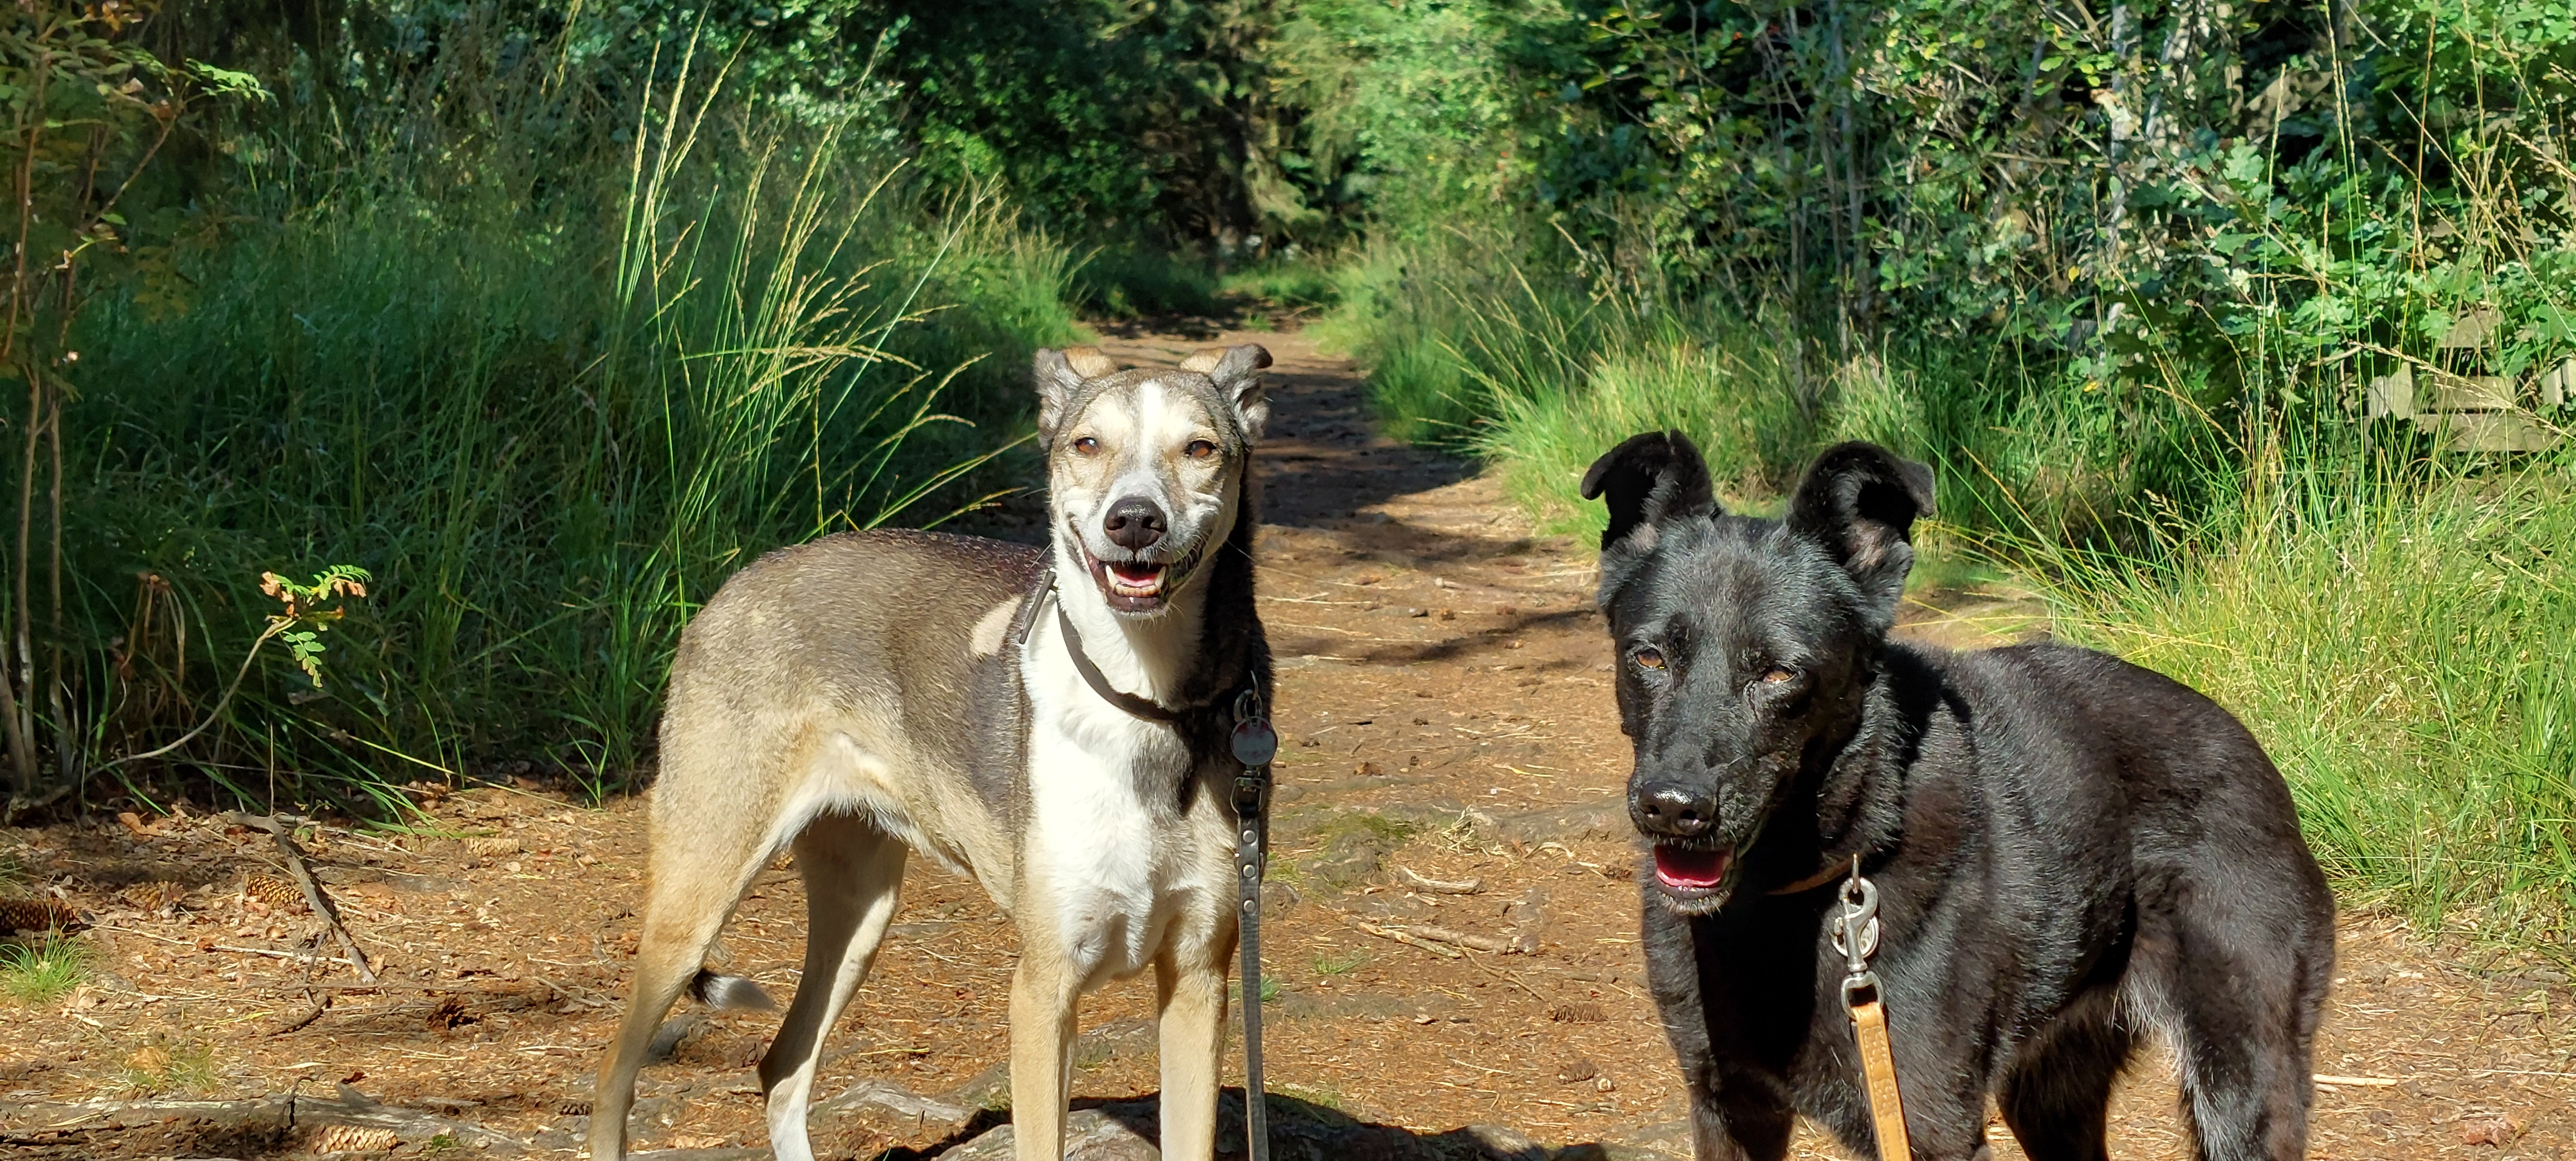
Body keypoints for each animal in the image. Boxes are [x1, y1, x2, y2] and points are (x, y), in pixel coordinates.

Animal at [590, 343, 1278, 1161]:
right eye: (1088, 444)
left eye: (1199, 449)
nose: (1135, 519)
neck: (1145, 699)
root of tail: (738, 582)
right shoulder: (1042, 991)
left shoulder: (1199, 978)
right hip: (694, 902)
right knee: (614, 1081)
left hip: (861, 911)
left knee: (782, 1067)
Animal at [1580, 433, 2335, 1161]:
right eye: (1648, 656)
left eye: (1777, 673)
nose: (1673, 807)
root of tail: (2247, 744)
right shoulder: (1727, 1105)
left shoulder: (1931, 1127)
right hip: (2050, 1091)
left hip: (2240, 1087)